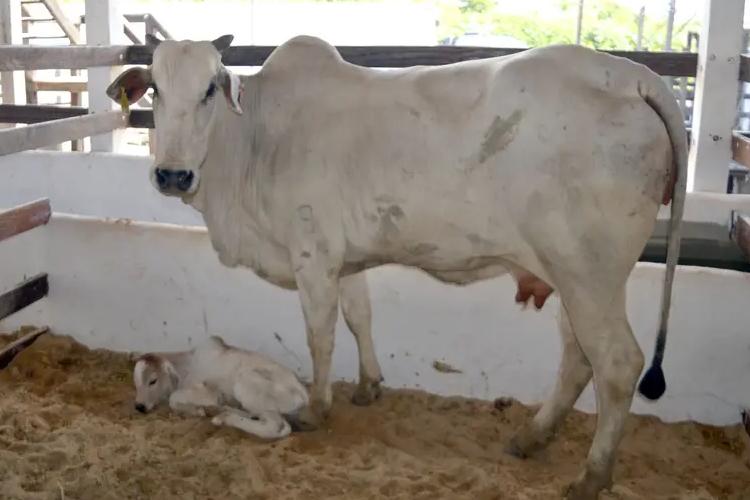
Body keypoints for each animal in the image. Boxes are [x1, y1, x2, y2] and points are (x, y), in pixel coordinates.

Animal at [132, 335, 308, 439]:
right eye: (136, 382)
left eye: (153, 381)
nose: (139, 406)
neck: (187, 366)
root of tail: (303, 393)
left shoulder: (209, 393)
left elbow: (173, 398)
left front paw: (196, 410)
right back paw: (223, 410)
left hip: (247, 386)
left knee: (276, 426)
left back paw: (224, 418)